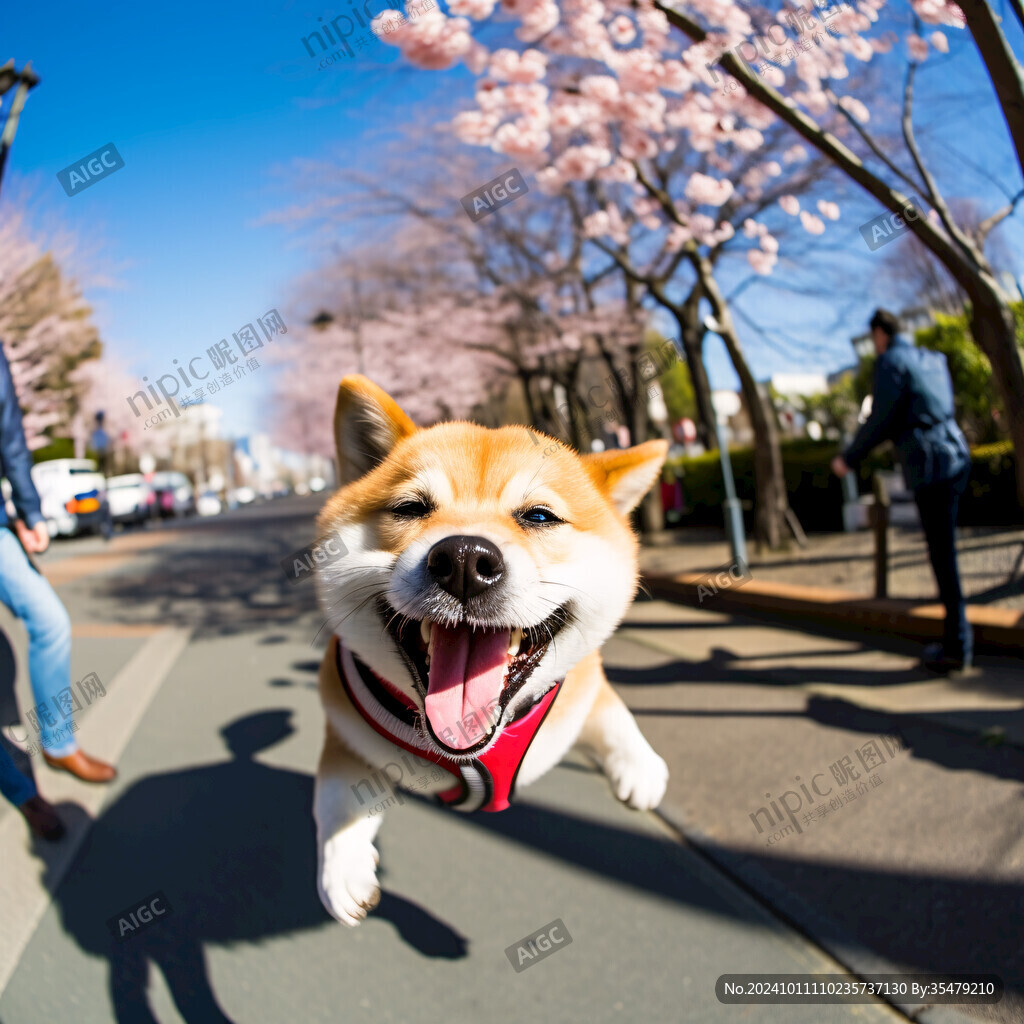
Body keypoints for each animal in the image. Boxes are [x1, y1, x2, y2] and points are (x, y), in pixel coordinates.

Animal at [311, 376, 671, 929]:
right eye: (410, 508)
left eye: (539, 516)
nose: (463, 558)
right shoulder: (346, 725)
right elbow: (335, 799)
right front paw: (343, 865)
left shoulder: (581, 685)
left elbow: (610, 710)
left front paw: (639, 767)